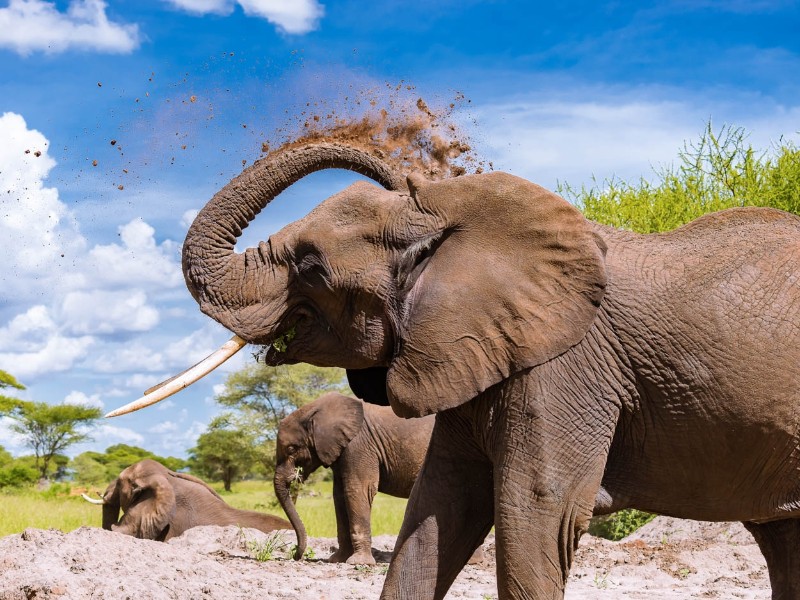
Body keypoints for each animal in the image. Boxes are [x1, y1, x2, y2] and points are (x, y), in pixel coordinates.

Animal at [274, 391, 435, 564]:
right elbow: (339, 496)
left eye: (291, 449)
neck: (315, 409)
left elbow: (357, 490)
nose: (297, 556)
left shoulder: (359, 444)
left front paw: (359, 562)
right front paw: (337, 560)